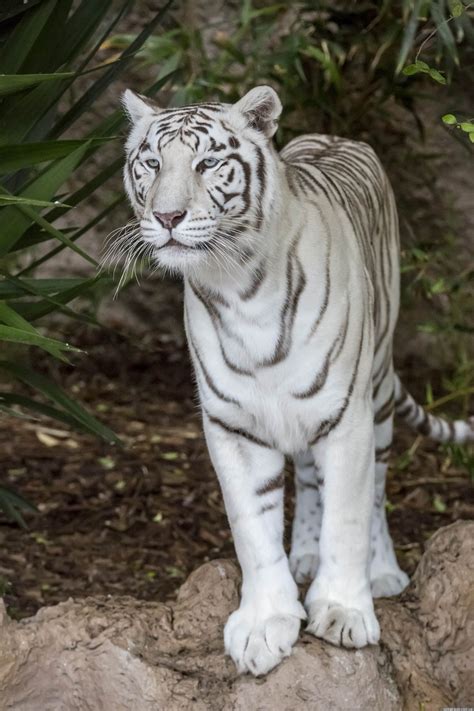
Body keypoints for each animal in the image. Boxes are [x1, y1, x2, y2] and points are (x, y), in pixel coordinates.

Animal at [117, 86, 474, 676]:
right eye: (151, 163)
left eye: (206, 163)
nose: (167, 215)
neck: (239, 287)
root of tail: (336, 134)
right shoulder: (233, 427)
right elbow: (253, 529)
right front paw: (265, 623)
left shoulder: (346, 415)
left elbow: (347, 516)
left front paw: (344, 611)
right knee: (308, 477)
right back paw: (304, 551)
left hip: (377, 391)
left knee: (376, 487)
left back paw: (382, 571)